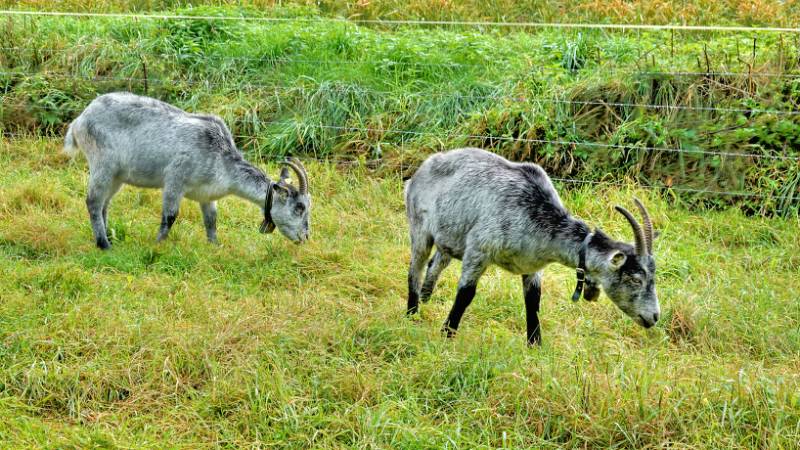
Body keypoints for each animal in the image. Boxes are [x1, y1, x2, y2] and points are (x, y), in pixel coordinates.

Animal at [62, 92, 310, 250]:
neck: (221, 158)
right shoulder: (175, 179)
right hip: (103, 164)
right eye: (299, 207)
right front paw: (158, 245)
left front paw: (215, 246)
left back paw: (109, 237)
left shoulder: (207, 195)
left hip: (117, 176)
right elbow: (170, 215)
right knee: (93, 201)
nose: (305, 237)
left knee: (104, 204)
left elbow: (211, 220)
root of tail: (80, 119)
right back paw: (104, 245)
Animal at [404, 148, 660, 344]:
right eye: (635, 279)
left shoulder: (532, 265)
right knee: (415, 268)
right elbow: (466, 293)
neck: (534, 211)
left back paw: (426, 298)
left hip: (450, 237)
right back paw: (411, 314)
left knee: (436, 262)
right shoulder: (479, 249)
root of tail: (419, 171)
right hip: (420, 228)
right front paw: (447, 334)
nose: (654, 316)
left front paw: (535, 344)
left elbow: (533, 300)